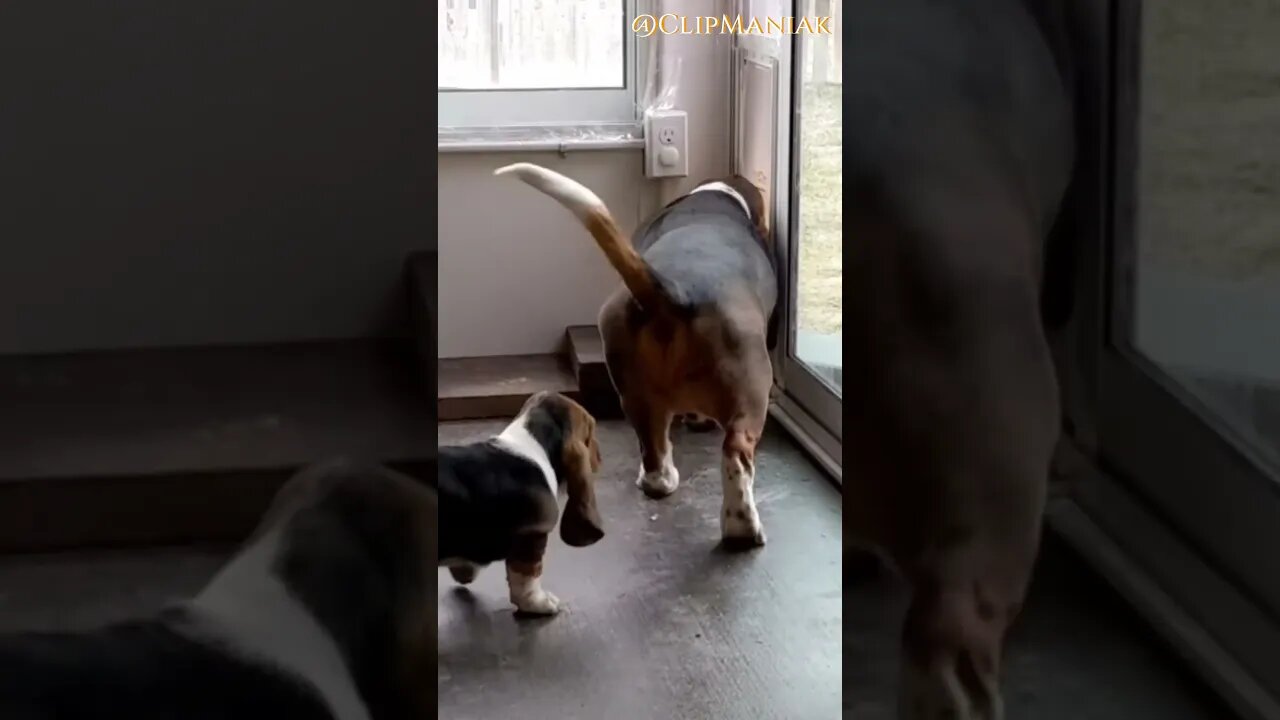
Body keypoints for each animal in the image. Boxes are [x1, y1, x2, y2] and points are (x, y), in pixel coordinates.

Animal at [435, 389, 604, 614]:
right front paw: (539, 603)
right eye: (591, 428)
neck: (531, 442)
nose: (600, 458)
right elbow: (527, 575)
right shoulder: (531, 534)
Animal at [496, 162, 778, 545]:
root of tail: (674, 291)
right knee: (735, 453)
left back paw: (658, 481)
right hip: (751, 390)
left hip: (634, 393)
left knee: (654, 451)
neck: (718, 195)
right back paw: (742, 526)